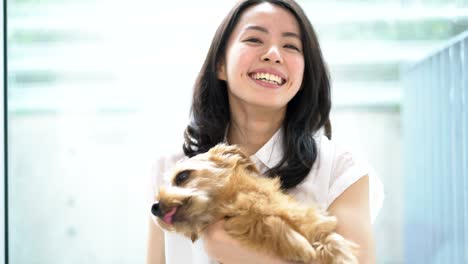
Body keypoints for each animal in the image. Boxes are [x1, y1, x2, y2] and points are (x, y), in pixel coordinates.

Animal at [152, 143, 356, 262]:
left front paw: (338, 254)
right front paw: (301, 247)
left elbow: (330, 237)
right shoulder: (238, 223)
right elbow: (269, 221)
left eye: (182, 176)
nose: (154, 207)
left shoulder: (312, 221)